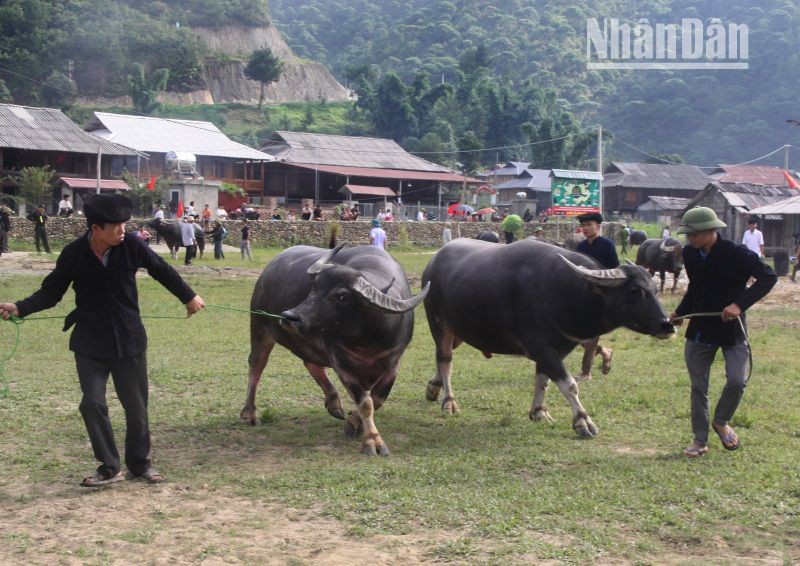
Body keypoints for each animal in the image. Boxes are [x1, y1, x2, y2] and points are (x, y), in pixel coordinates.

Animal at [242, 244, 428, 458]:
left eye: (342, 296)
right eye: (314, 286)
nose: (290, 316)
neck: (368, 341)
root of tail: (267, 272)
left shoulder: (393, 364)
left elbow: (377, 400)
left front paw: (353, 422)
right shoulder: (342, 364)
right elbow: (366, 404)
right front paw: (373, 441)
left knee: (311, 363)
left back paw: (333, 402)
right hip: (259, 328)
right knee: (256, 366)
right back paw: (249, 414)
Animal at [418, 240, 676, 440]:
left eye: (654, 289)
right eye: (635, 290)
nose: (667, 324)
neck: (568, 293)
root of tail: (432, 263)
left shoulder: (555, 350)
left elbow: (543, 381)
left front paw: (539, 411)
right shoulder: (542, 348)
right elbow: (569, 385)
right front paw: (583, 422)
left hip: (461, 331)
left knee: (441, 357)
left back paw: (433, 387)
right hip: (439, 323)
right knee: (445, 359)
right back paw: (448, 401)